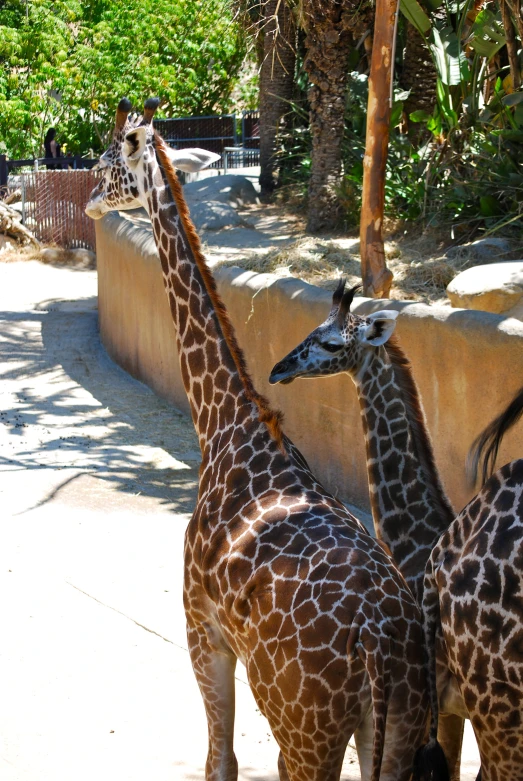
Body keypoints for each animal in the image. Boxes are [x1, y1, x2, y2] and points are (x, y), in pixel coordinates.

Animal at [86, 100, 446, 780]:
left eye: (103, 162)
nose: (91, 202)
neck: (226, 423)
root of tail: (380, 642)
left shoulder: (200, 626)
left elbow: (218, 760)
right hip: (397, 730)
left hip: (305, 729)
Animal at [268, 278, 468, 772]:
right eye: (311, 329)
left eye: (330, 343)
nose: (278, 370)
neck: (417, 542)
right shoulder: (450, 709)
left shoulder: (441, 707)